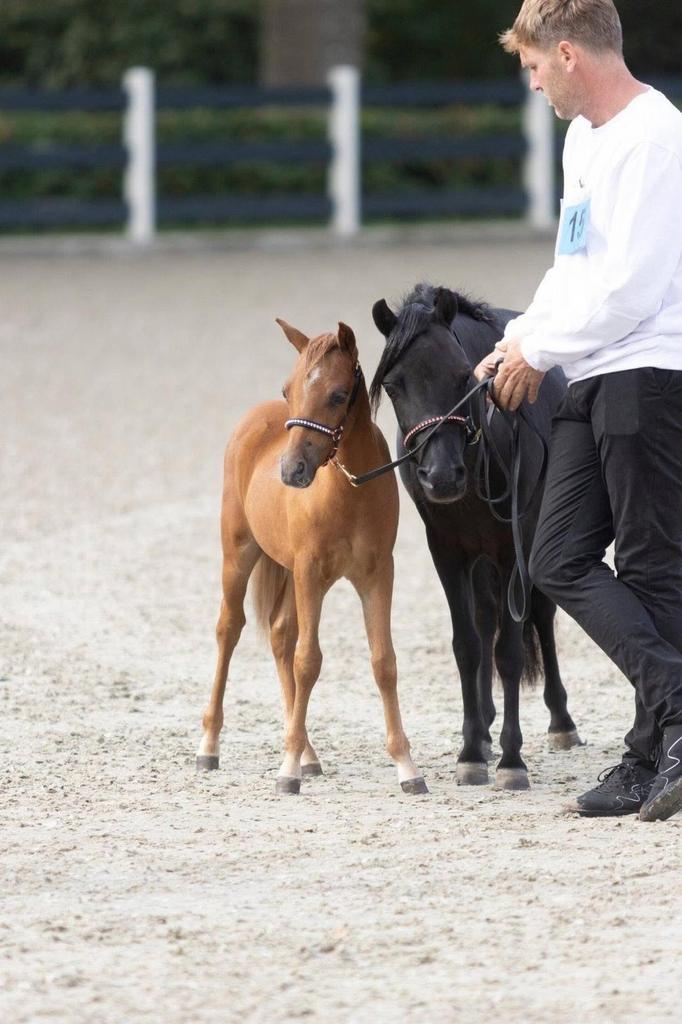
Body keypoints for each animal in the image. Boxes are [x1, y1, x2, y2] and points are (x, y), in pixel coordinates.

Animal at [195, 318, 427, 796]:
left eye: (338, 395)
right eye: (288, 390)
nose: (291, 471)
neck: (349, 490)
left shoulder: (378, 575)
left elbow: (383, 662)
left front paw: (406, 767)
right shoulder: (309, 573)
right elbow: (308, 662)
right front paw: (286, 771)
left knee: (280, 634)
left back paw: (307, 753)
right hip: (239, 555)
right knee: (230, 629)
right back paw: (210, 746)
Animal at [370, 283, 582, 790]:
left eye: (462, 375)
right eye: (393, 384)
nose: (441, 476)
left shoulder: (512, 550)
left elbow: (510, 650)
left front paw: (511, 760)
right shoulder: (447, 550)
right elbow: (467, 644)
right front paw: (471, 751)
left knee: (539, 617)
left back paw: (560, 724)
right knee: (486, 620)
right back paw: (483, 726)